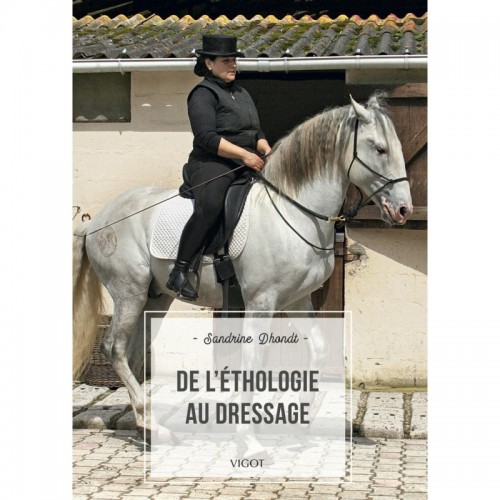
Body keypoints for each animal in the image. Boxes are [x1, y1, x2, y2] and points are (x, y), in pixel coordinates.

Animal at [73, 93, 413, 458]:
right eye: (379, 148)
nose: (403, 210)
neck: (293, 211)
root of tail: (98, 220)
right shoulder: (261, 303)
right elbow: (253, 363)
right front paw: (248, 441)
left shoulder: (296, 301)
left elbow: (319, 350)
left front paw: (300, 425)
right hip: (129, 292)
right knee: (115, 348)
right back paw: (148, 425)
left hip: (156, 298)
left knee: (133, 353)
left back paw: (149, 427)